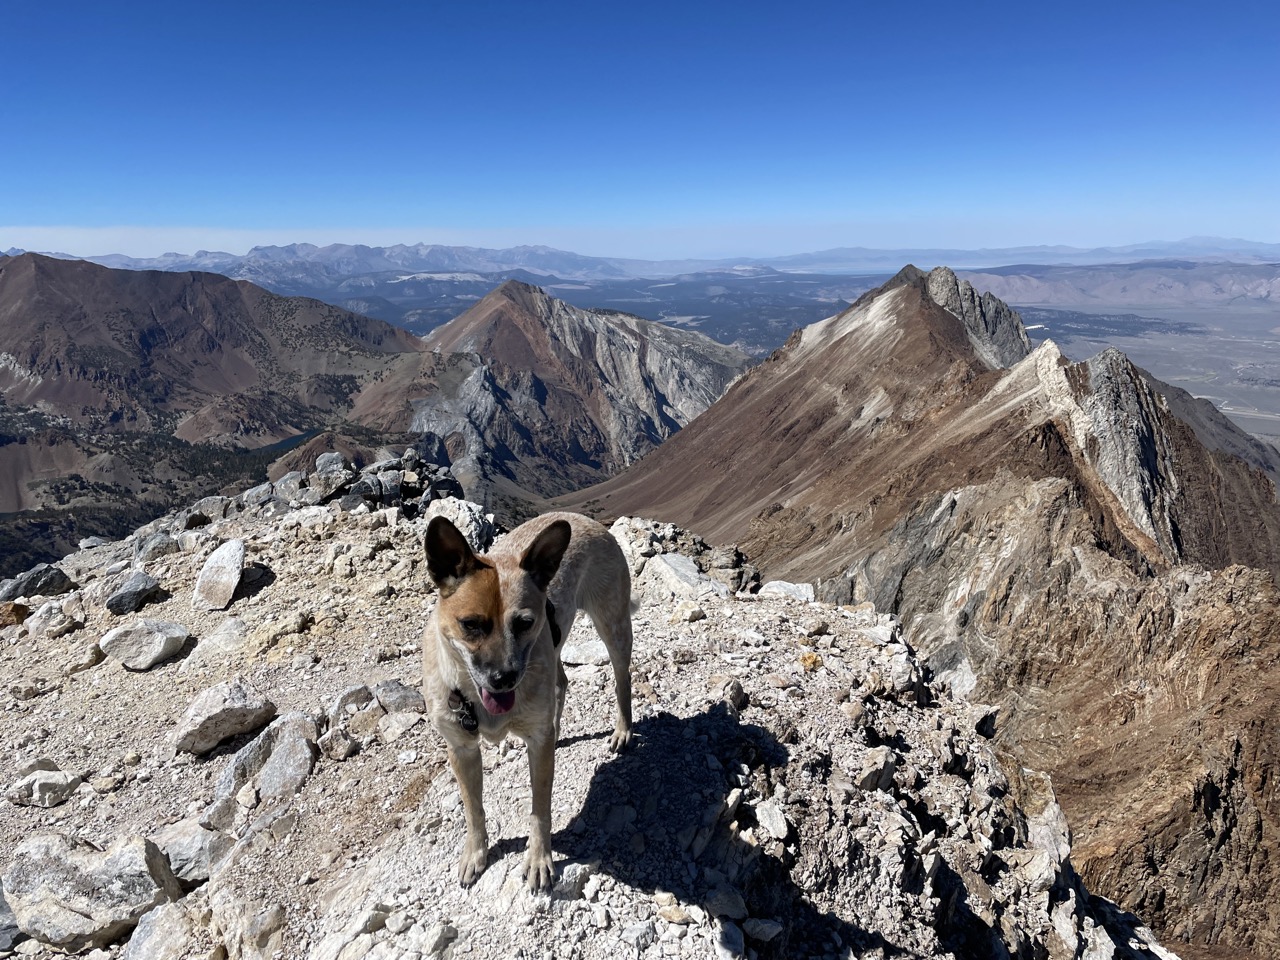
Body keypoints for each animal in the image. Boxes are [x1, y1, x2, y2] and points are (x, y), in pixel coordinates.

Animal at [419, 512, 634, 896]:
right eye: (470, 624)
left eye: (525, 623)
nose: (504, 678)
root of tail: (585, 519)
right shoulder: (461, 749)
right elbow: (473, 809)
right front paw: (475, 853)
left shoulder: (536, 744)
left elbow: (540, 809)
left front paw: (538, 860)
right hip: (556, 647)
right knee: (561, 682)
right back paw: (559, 728)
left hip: (613, 625)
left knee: (622, 677)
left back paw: (623, 730)